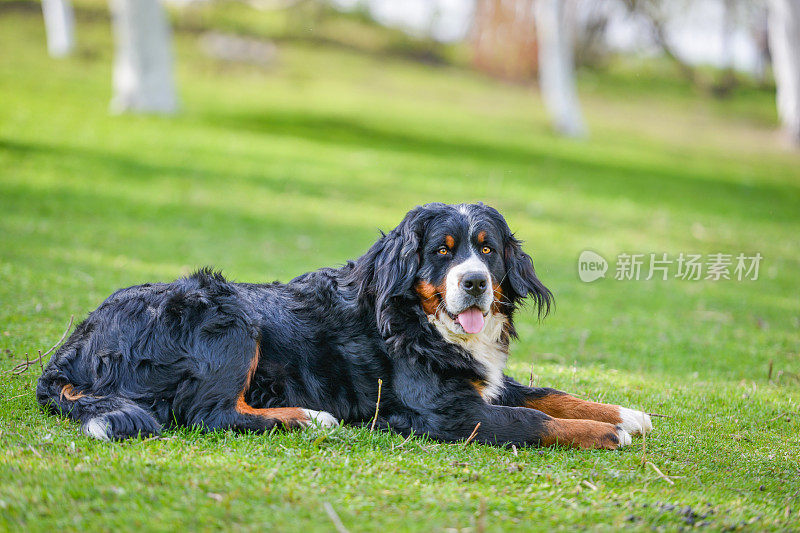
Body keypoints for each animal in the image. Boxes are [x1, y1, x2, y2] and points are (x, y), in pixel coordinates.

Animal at [36, 202, 648, 446]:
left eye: (488, 249)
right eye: (443, 251)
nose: (474, 282)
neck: (418, 321)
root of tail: (77, 345)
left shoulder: (481, 383)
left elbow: (549, 394)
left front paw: (627, 414)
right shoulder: (448, 413)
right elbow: (533, 419)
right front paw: (608, 433)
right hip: (229, 315)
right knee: (208, 414)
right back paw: (310, 417)